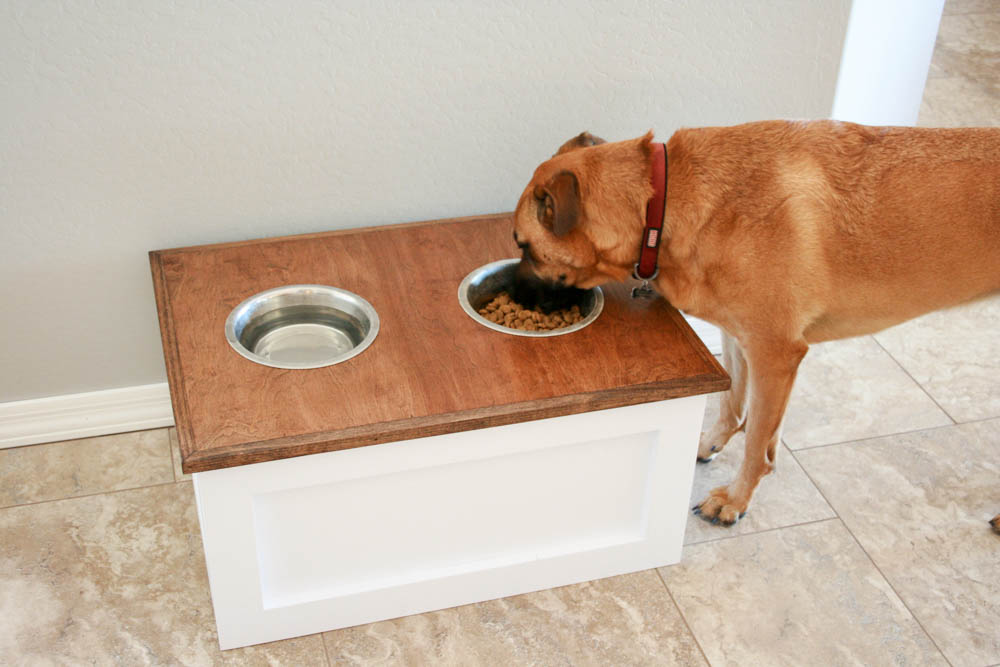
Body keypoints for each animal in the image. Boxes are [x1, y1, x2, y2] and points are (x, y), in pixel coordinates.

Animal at [512, 121, 1000, 536]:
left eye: (523, 246)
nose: (513, 299)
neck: (663, 204)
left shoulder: (775, 354)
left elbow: (756, 441)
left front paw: (734, 499)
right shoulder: (740, 337)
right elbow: (736, 406)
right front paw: (710, 444)